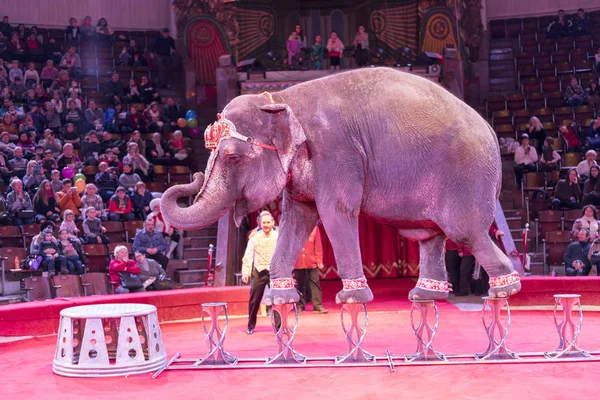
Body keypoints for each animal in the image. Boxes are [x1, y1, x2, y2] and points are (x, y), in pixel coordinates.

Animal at [159, 67, 520, 304]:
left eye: (233, 157)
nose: (191, 178)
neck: (283, 98)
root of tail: (491, 130)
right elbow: (297, 219)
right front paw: (280, 300)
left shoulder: (335, 151)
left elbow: (336, 213)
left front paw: (352, 298)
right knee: (432, 236)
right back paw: (423, 295)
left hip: (467, 177)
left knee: (465, 233)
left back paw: (504, 289)